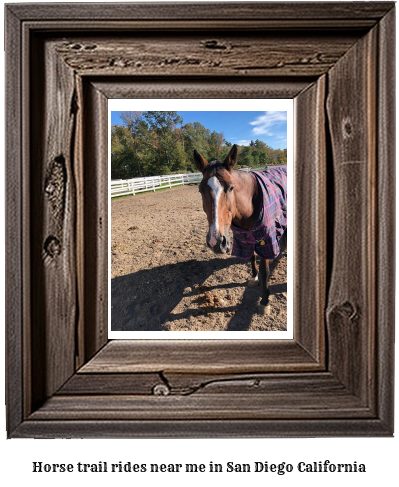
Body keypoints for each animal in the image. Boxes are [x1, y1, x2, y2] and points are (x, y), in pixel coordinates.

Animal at [194, 144, 288, 316]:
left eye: (231, 188)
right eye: (200, 190)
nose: (216, 241)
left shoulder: (265, 239)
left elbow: (265, 271)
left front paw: (264, 301)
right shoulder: (244, 237)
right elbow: (251, 258)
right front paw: (254, 277)